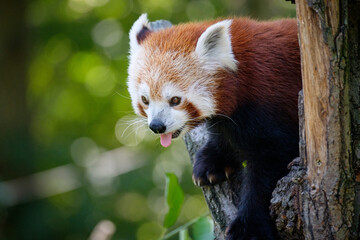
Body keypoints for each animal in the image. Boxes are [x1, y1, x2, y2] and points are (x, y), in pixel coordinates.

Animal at [126, 14, 300, 240]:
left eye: (175, 100)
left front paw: (249, 227)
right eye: (145, 100)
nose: (157, 126)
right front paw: (213, 161)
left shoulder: (271, 102)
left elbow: (268, 167)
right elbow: (222, 132)